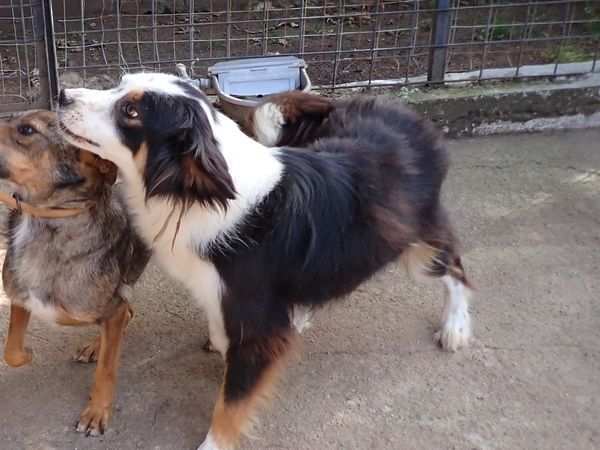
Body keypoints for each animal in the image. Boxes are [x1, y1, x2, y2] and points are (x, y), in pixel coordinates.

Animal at [0, 111, 150, 436]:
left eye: (26, 130)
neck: (48, 221)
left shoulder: (107, 306)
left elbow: (106, 369)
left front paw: (96, 412)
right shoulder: (19, 296)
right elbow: (12, 350)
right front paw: (28, 354)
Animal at [59, 74, 474, 450]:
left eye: (131, 112)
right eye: (120, 83)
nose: (63, 94)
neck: (192, 194)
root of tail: (398, 109)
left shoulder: (256, 323)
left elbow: (233, 399)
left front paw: (214, 444)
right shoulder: (222, 293)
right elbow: (221, 334)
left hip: (416, 245)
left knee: (454, 266)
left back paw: (454, 327)